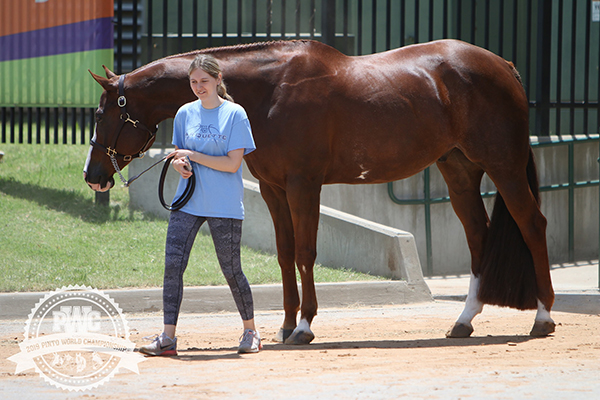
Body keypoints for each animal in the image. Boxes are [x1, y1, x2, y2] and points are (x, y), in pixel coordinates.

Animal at [82, 39, 556, 344]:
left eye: (102, 115)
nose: (93, 175)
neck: (268, 90)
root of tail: (503, 66)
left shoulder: (303, 185)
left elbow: (306, 253)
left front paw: (305, 326)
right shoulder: (273, 189)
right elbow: (285, 254)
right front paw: (286, 324)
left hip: (504, 167)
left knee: (532, 224)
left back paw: (543, 317)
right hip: (458, 170)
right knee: (478, 236)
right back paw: (464, 321)